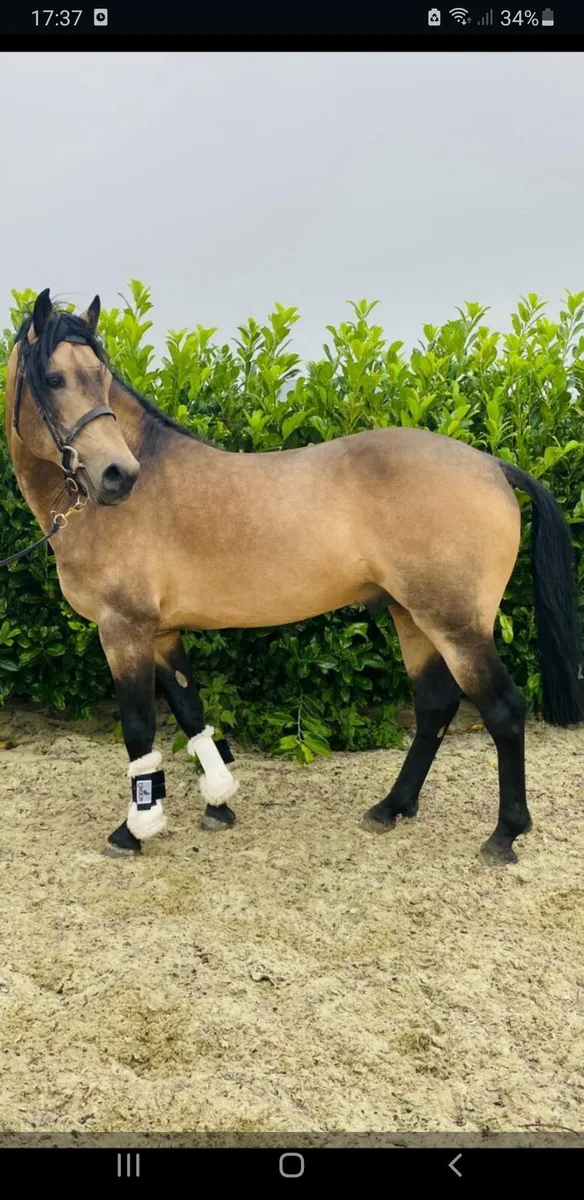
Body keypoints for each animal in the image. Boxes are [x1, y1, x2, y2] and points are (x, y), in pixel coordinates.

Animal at [3, 289, 583, 865]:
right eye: (53, 379)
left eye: (100, 377)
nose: (117, 476)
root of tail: (491, 465)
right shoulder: (161, 632)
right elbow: (190, 711)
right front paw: (218, 806)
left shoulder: (122, 629)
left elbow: (140, 728)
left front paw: (133, 831)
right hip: (412, 618)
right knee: (435, 707)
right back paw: (391, 807)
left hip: (456, 626)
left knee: (504, 711)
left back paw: (504, 834)